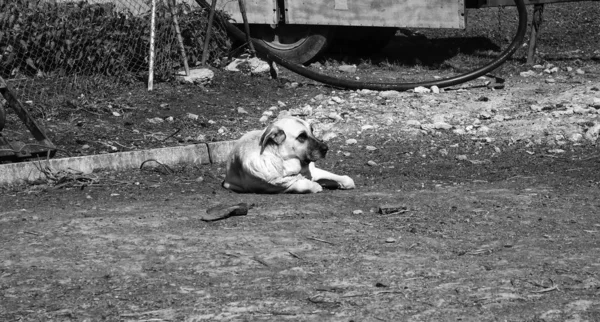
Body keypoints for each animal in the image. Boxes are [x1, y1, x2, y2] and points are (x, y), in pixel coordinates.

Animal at [221, 116, 354, 194]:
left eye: (312, 131)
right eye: (301, 136)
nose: (326, 148)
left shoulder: (313, 172)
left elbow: (346, 179)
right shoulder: (273, 187)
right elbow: (304, 184)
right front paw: (315, 185)